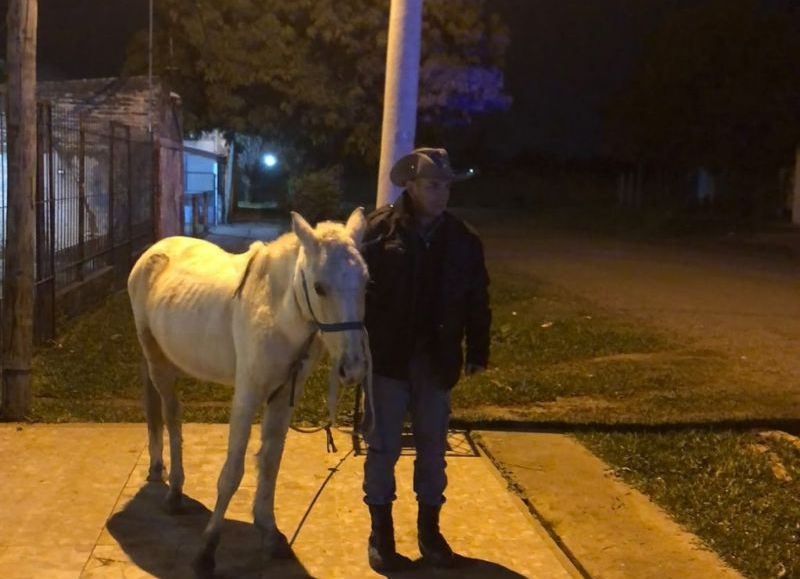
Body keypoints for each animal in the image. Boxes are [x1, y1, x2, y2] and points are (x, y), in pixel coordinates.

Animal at [127, 208, 369, 571]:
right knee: (171, 419)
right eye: (320, 287)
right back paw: (174, 493)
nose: (353, 368)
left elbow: (269, 464)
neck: (275, 311)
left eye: (366, 282)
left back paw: (159, 470)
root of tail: (153, 251)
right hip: (156, 359)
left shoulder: (283, 398)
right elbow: (232, 472)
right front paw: (207, 549)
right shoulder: (248, 394)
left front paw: (270, 533)